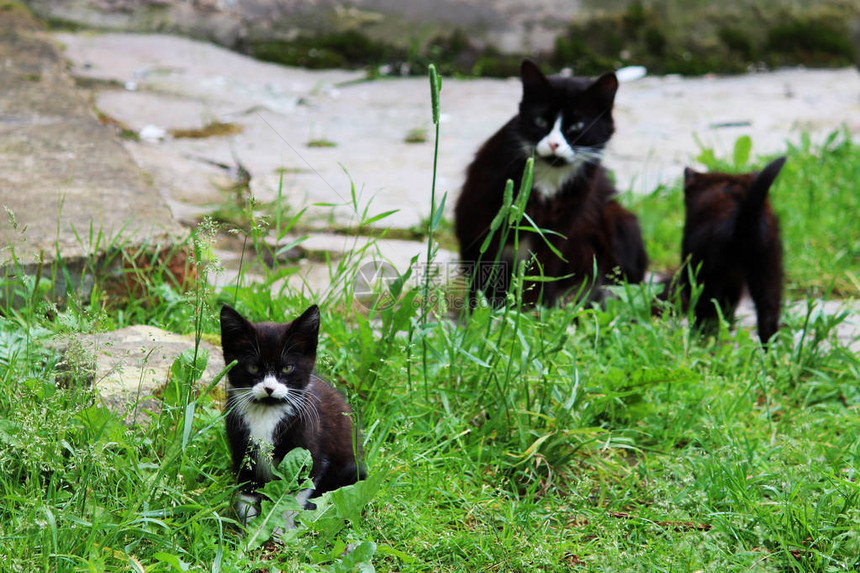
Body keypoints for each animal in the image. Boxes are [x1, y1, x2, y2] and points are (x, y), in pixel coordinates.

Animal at [220, 306, 364, 520]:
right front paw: (249, 526)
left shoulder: (309, 455)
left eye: (287, 368)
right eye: (253, 367)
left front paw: (282, 527)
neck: (267, 412)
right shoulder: (241, 450)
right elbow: (247, 493)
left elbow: (292, 497)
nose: (269, 388)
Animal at [456, 59, 644, 306]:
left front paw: (531, 309)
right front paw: (482, 306)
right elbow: (485, 265)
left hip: (619, 217)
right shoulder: (481, 214)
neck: (549, 177)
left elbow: (542, 270)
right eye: (540, 120)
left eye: (577, 126)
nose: (554, 144)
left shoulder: (560, 227)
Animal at [676, 156, 788, 342]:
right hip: (769, 269)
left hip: (706, 277)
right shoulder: (733, 281)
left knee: (708, 316)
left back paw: (701, 340)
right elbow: (729, 307)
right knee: (768, 317)